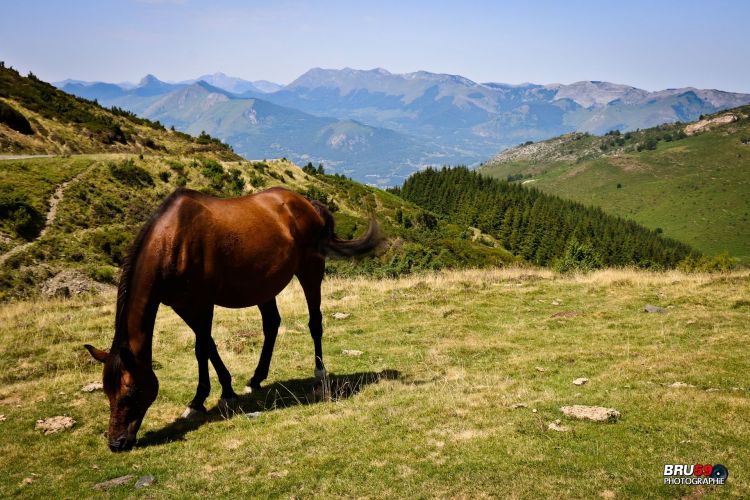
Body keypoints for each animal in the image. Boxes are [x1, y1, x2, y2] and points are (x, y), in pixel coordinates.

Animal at [85, 186, 378, 452]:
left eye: (130, 392)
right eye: (107, 392)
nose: (116, 443)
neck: (172, 241)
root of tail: (306, 203)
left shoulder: (202, 303)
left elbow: (203, 347)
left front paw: (209, 397)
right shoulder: (183, 306)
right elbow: (206, 347)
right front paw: (215, 394)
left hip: (310, 270)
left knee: (314, 321)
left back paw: (319, 372)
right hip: (264, 286)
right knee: (271, 324)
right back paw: (256, 379)